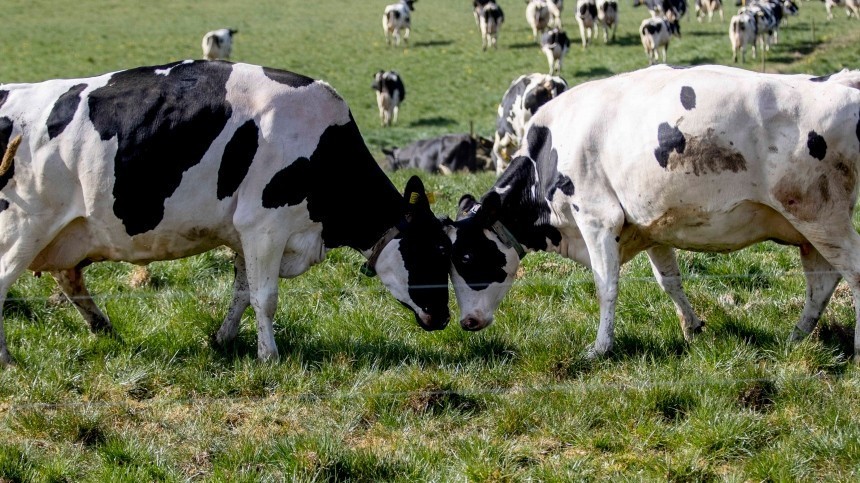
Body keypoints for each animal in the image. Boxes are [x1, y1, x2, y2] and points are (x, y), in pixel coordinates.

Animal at [0, 59, 454, 364]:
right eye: (430, 251)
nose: (444, 317)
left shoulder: (243, 234)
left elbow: (241, 293)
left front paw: (224, 339)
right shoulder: (265, 226)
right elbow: (264, 297)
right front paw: (269, 357)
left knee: (68, 276)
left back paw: (104, 329)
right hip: (23, 225)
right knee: (6, 282)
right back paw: (7, 358)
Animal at [444, 66, 860, 364]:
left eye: (467, 257)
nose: (466, 322)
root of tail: (842, 80)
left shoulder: (597, 219)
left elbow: (606, 287)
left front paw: (600, 348)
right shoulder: (653, 226)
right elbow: (669, 281)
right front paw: (692, 328)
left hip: (821, 214)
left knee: (852, 273)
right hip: (810, 228)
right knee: (822, 283)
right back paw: (796, 337)